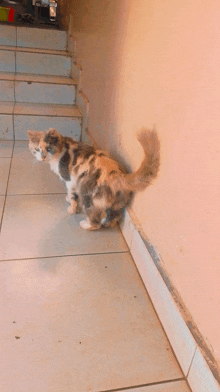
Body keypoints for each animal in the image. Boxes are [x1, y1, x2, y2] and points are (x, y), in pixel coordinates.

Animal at [28, 129, 161, 230]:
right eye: (37, 150)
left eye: (48, 148)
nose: (42, 157)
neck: (63, 147)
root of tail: (116, 175)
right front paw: (69, 200)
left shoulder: (70, 180)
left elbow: (72, 195)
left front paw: (72, 208)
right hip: (118, 201)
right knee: (113, 217)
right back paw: (106, 222)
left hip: (88, 195)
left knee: (95, 222)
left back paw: (86, 225)